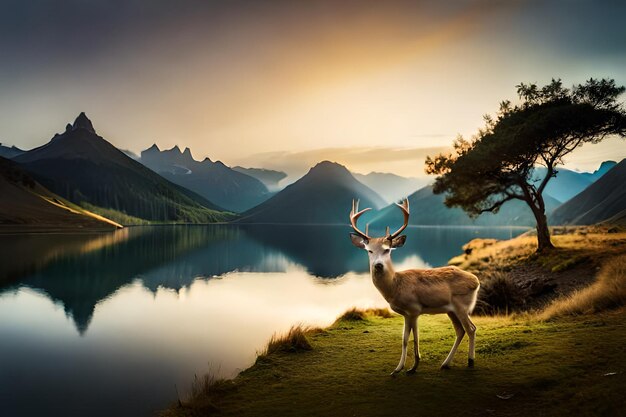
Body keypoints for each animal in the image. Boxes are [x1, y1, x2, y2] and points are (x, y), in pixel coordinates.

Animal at [346, 198, 478, 374]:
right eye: (369, 251)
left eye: (388, 250)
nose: (378, 265)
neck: (395, 287)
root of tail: (476, 281)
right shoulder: (405, 314)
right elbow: (404, 339)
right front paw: (397, 369)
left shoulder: (415, 309)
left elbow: (415, 338)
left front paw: (413, 367)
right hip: (451, 310)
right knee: (460, 330)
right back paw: (445, 363)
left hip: (461, 305)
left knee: (471, 328)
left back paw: (470, 361)